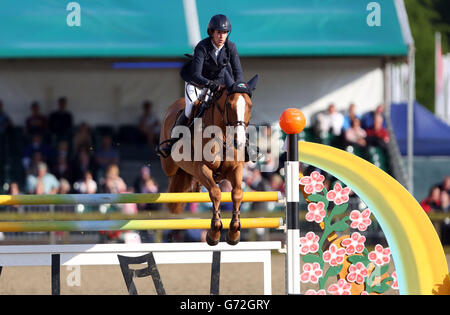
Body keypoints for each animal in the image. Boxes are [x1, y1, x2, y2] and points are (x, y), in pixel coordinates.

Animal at [158, 74, 258, 247]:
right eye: (229, 105)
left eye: (249, 106)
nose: (239, 141)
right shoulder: (202, 169)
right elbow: (216, 193)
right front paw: (214, 232)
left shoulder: (236, 169)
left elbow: (237, 193)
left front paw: (234, 232)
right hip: (169, 164)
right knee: (173, 173)